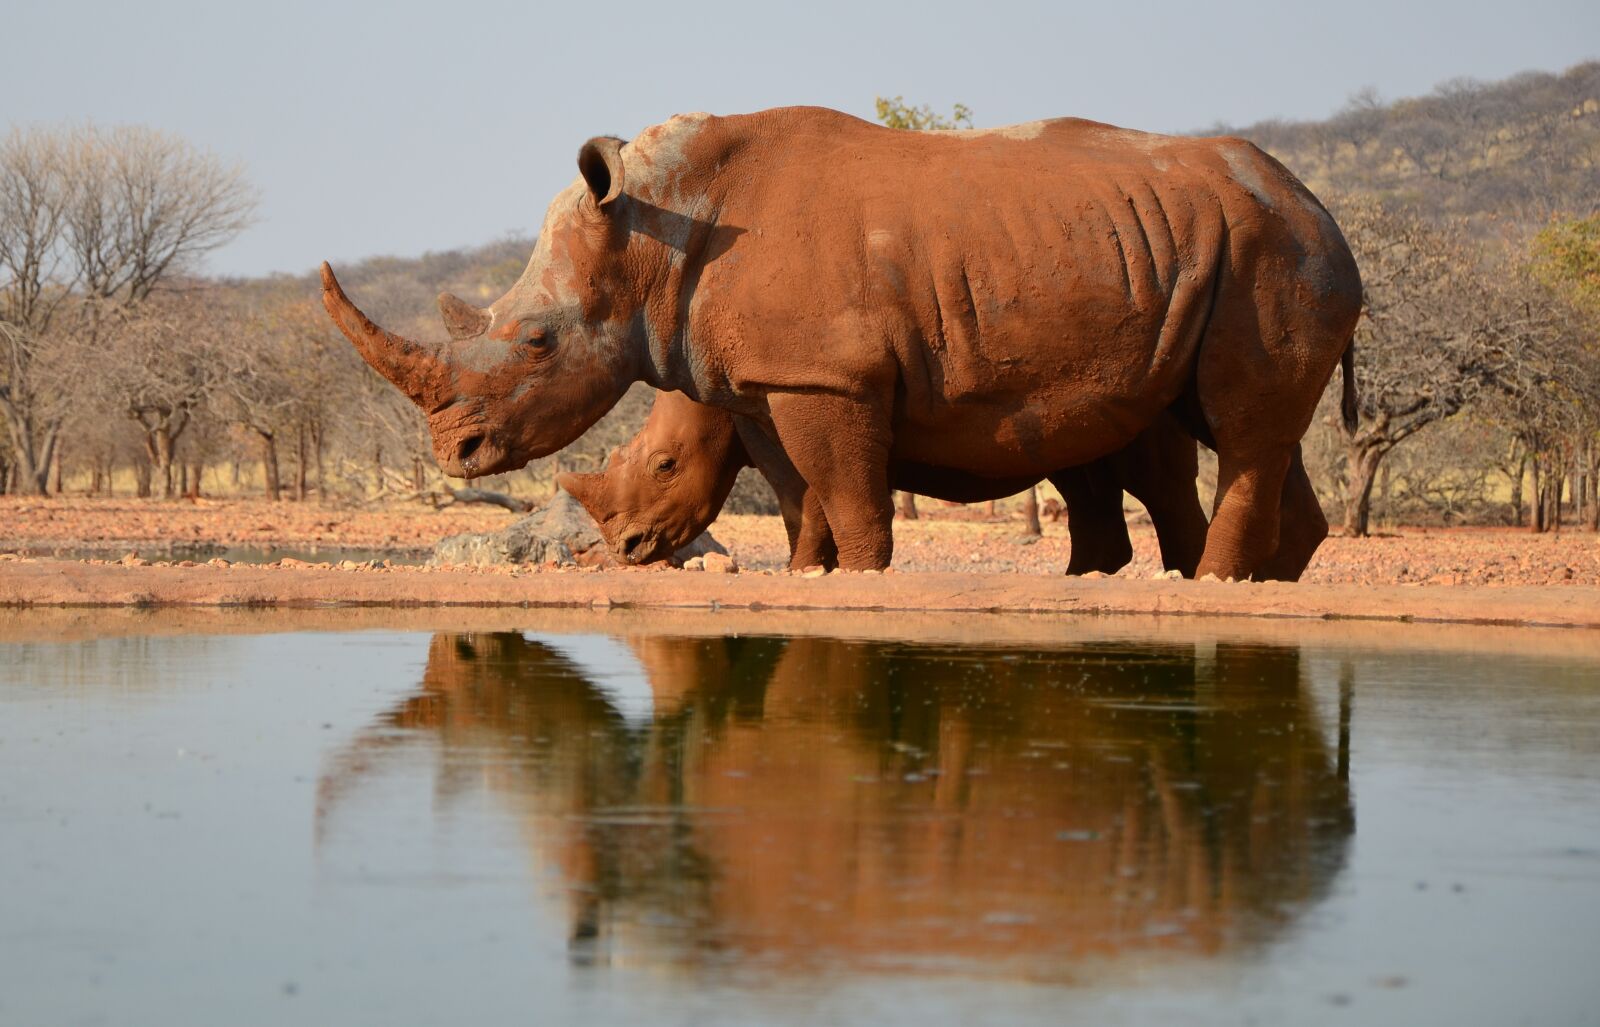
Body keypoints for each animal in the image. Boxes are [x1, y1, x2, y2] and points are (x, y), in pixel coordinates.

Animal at [556, 387, 1209, 576]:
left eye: (665, 465)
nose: (626, 551)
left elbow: (799, 499)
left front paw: (805, 572)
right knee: (1084, 479)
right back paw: (1086, 578)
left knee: (1155, 483)